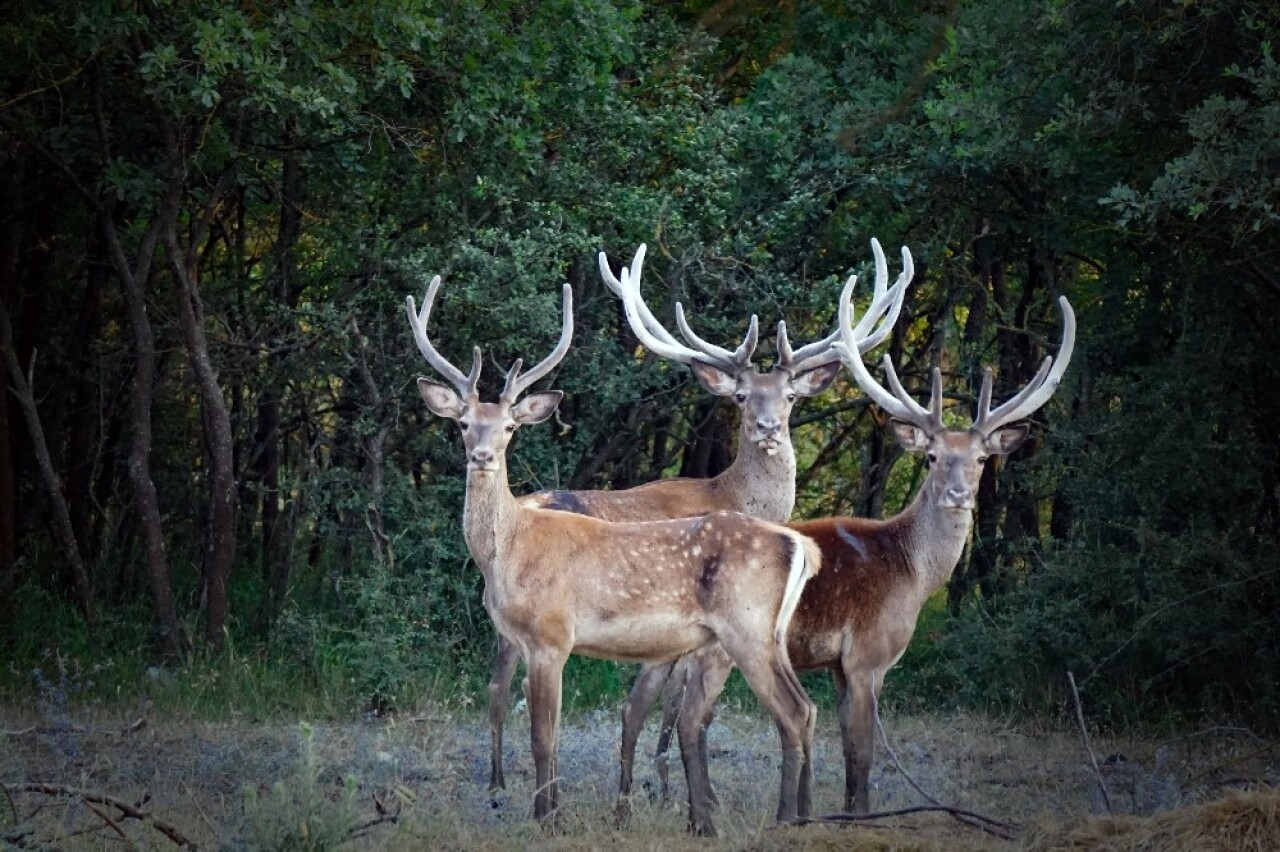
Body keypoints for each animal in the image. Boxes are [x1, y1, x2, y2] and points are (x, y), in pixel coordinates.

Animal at [409, 275, 829, 834]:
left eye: (509, 427)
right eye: (462, 423)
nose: (481, 456)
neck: (510, 553)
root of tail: (799, 543)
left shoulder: (552, 635)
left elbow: (543, 737)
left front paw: (548, 817)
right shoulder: (526, 639)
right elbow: (550, 732)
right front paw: (552, 809)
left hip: (745, 627)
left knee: (790, 711)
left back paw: (785, 817)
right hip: (766, 634)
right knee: (805, 708)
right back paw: (799, 812)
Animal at [481, 239, 911, 803]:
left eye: (791, 396)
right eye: (742, 395)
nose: (768, 427)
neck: (729, 493)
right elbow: (674, 708)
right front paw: (668, 786)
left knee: (494, 683)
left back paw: (498, 780)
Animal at [614, 275, 1075, 813]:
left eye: (982, 458)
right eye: (933, 456)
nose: (959, 495)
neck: (911, 571)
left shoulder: (837, 665)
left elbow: (845, 746)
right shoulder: (867, 656)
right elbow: (861, 751)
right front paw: (856, 813)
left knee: (639, 708)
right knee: (683, 716)